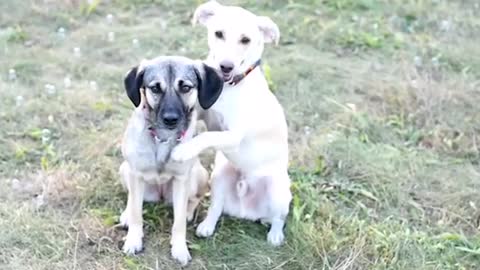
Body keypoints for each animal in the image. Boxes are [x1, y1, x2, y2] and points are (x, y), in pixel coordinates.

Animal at [120, 56, 225, 264]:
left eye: (185, 87)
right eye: (155, 88)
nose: (170, 119)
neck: (162, 138)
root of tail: (161, 196)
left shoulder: (182, 179)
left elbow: (178, 223)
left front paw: (179, 248)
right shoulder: (135, 174)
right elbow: (136, 213)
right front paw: (133, 240)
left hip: (198, 175)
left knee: (194, 199)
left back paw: (189, 212)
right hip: (124, 169)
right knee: (132, 199)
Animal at [172, 0, 292, 246]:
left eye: (245, 40)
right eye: (219, 34)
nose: (225, 66)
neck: (226, 88)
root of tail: (246, 211)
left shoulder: (233, 134)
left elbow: (206, 135)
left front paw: (184, 149)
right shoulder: (201, 113)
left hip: (279, 193)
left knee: (278, 218)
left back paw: (275, 236)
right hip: (219, 177)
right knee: (216, 208)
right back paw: (206, 226)